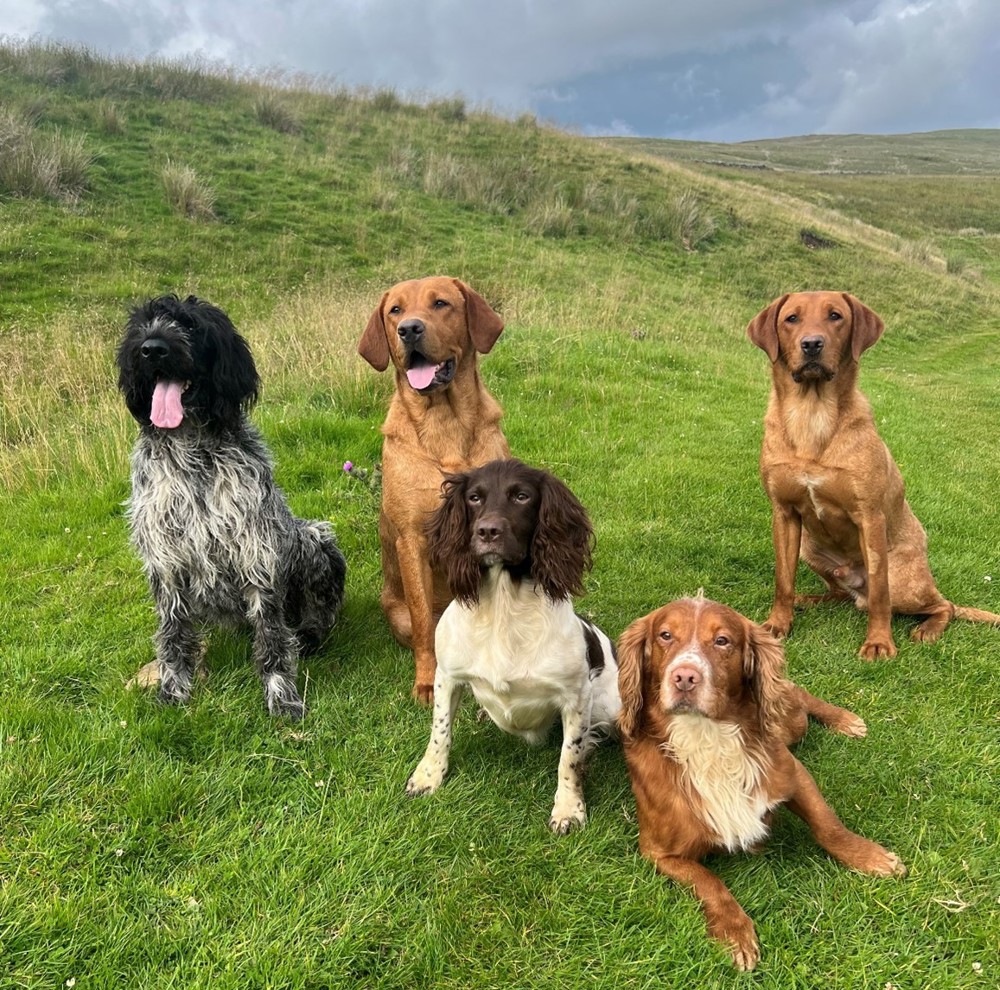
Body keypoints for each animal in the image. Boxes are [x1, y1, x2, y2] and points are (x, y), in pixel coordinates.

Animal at [114, 294, 344, 720]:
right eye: (143, 325)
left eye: (190, 325)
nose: (152, 349)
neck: (191, 452)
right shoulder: (165, 561)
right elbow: (173, 634)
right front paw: (173, 690)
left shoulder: (256, 552)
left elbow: (272, 637)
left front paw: (281, 694)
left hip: (314, 538)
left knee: (316, 615)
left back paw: (308, 635)